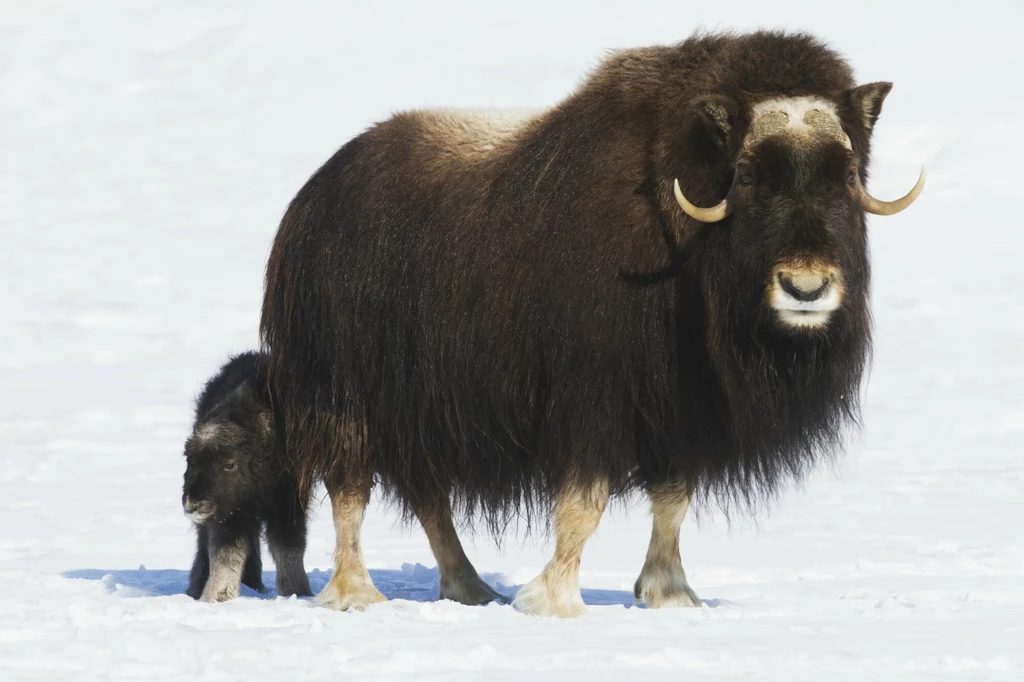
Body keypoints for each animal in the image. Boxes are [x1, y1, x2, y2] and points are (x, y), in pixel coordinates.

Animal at [182, 350, 311, 602]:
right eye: (189, 461)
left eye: (229, 465)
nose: (192, 505)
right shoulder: (231, 513)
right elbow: (226, 552)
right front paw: (216, 597)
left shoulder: (287, 502)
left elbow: (289, 546)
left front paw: (298, 593)